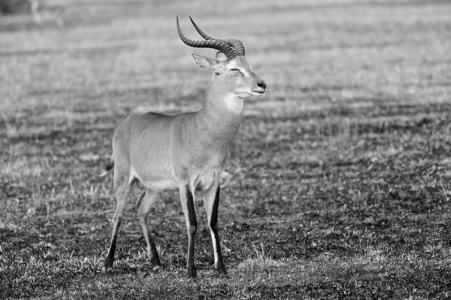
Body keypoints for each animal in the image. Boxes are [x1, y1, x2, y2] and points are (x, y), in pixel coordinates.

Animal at [104, 15, 266, 278]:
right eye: (232, 69)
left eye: (248, 65)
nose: (262, 84)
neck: (203, 131)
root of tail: (127, 121)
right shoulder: (185, 183)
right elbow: (192, 223)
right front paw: (191, 271)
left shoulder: (213, 182)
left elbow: (213, 222)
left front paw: (221, 268)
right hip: (123, 178)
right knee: (118, 214)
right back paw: (108, 262)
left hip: (155, 187)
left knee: (140, 209)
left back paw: (156, 260)